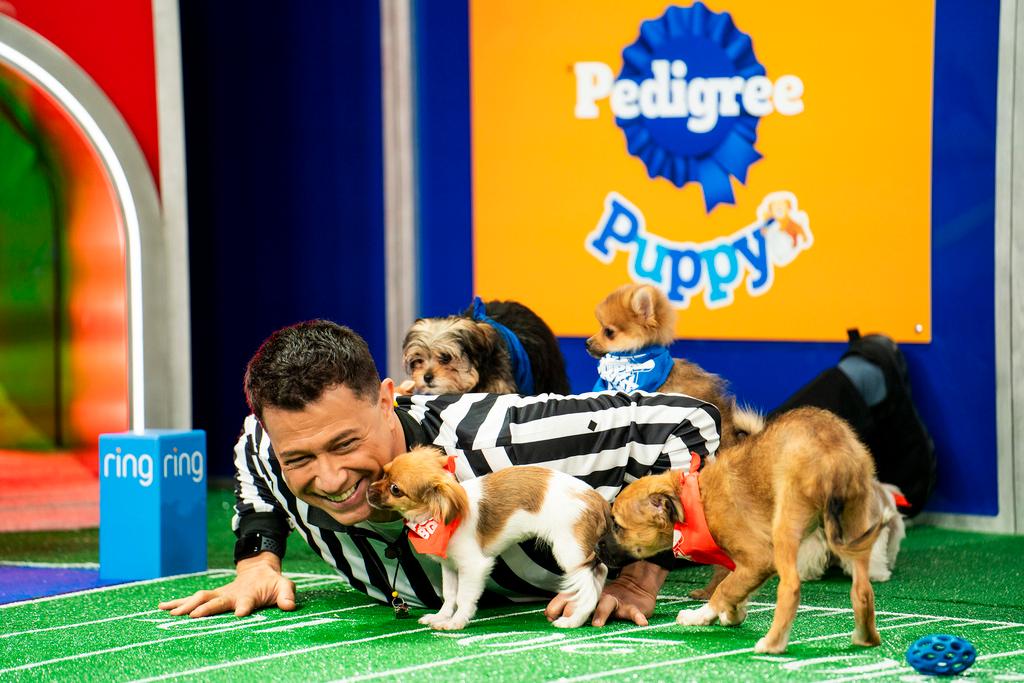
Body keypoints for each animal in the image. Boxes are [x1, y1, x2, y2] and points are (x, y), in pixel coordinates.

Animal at [368, 448, 606, 630]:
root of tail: (597, 499)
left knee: (589, 587)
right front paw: (441, 617)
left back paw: (573, 620)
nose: (368, 490)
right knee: (600, 573)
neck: (437, 517)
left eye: (395, 489)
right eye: (384, 473)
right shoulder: (450, 565)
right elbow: (450, 595)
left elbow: (463, 597)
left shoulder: (474, 565)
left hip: (570, 552)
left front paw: (455, 622)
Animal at [598, 409, 888, 655]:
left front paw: (700, 616)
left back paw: (772, 644)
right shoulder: (744, 566)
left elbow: (724, 589)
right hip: (855, 523)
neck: (697, 500)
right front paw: (731, 615)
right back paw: (866, 638)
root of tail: (833, 455)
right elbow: (735, 589)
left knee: (791, 587)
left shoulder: (759, 559)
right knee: (862, 590)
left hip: (786, 526)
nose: (596, 547)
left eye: (617, 525)